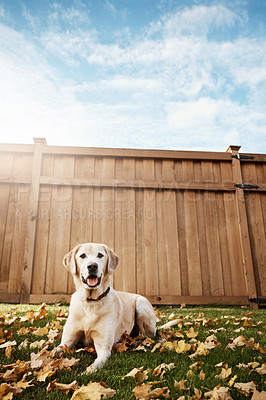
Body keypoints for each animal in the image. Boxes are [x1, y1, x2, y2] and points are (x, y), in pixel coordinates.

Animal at [56, 241, 156, 372]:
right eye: (82, 256)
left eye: (100, 255)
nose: (92, 266)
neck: (91, 302)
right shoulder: (66, 342)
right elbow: (52, 352)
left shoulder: (103, 347)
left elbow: (94, 366)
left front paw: (86, 372)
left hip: (141, 304)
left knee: (145, 337)